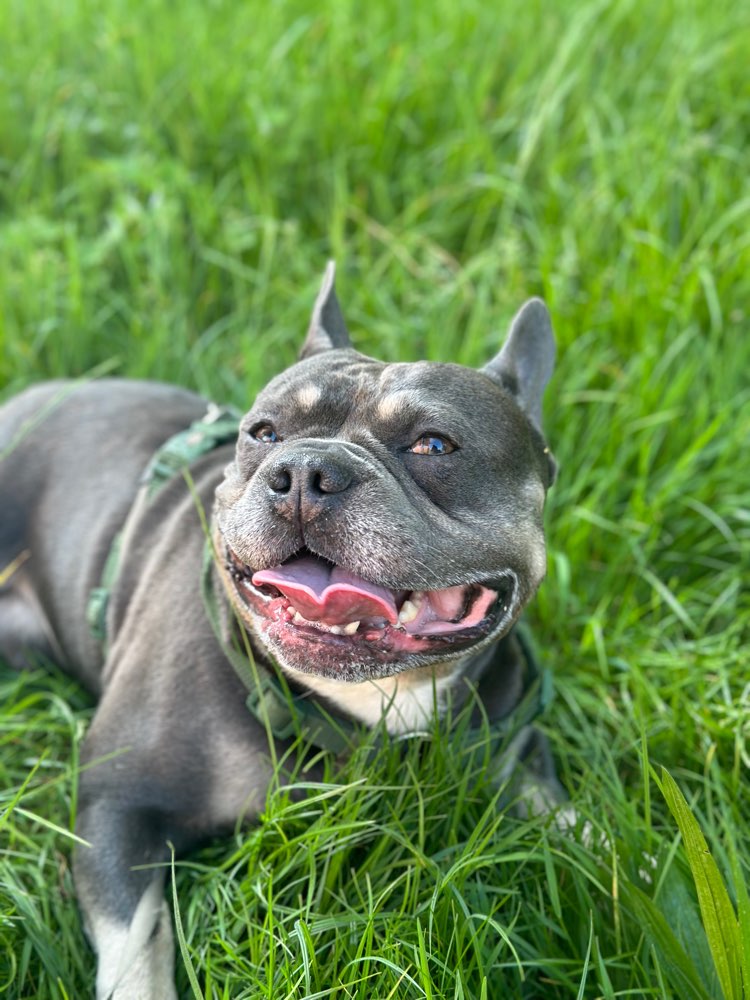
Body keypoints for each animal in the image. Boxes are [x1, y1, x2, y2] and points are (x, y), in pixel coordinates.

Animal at [0, 262, 560, 996]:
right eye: (263, 433)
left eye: (435, 445)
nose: (303, 471)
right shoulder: (117, 802)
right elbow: (136, 946)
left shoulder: (513, 735)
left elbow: (580, 827)